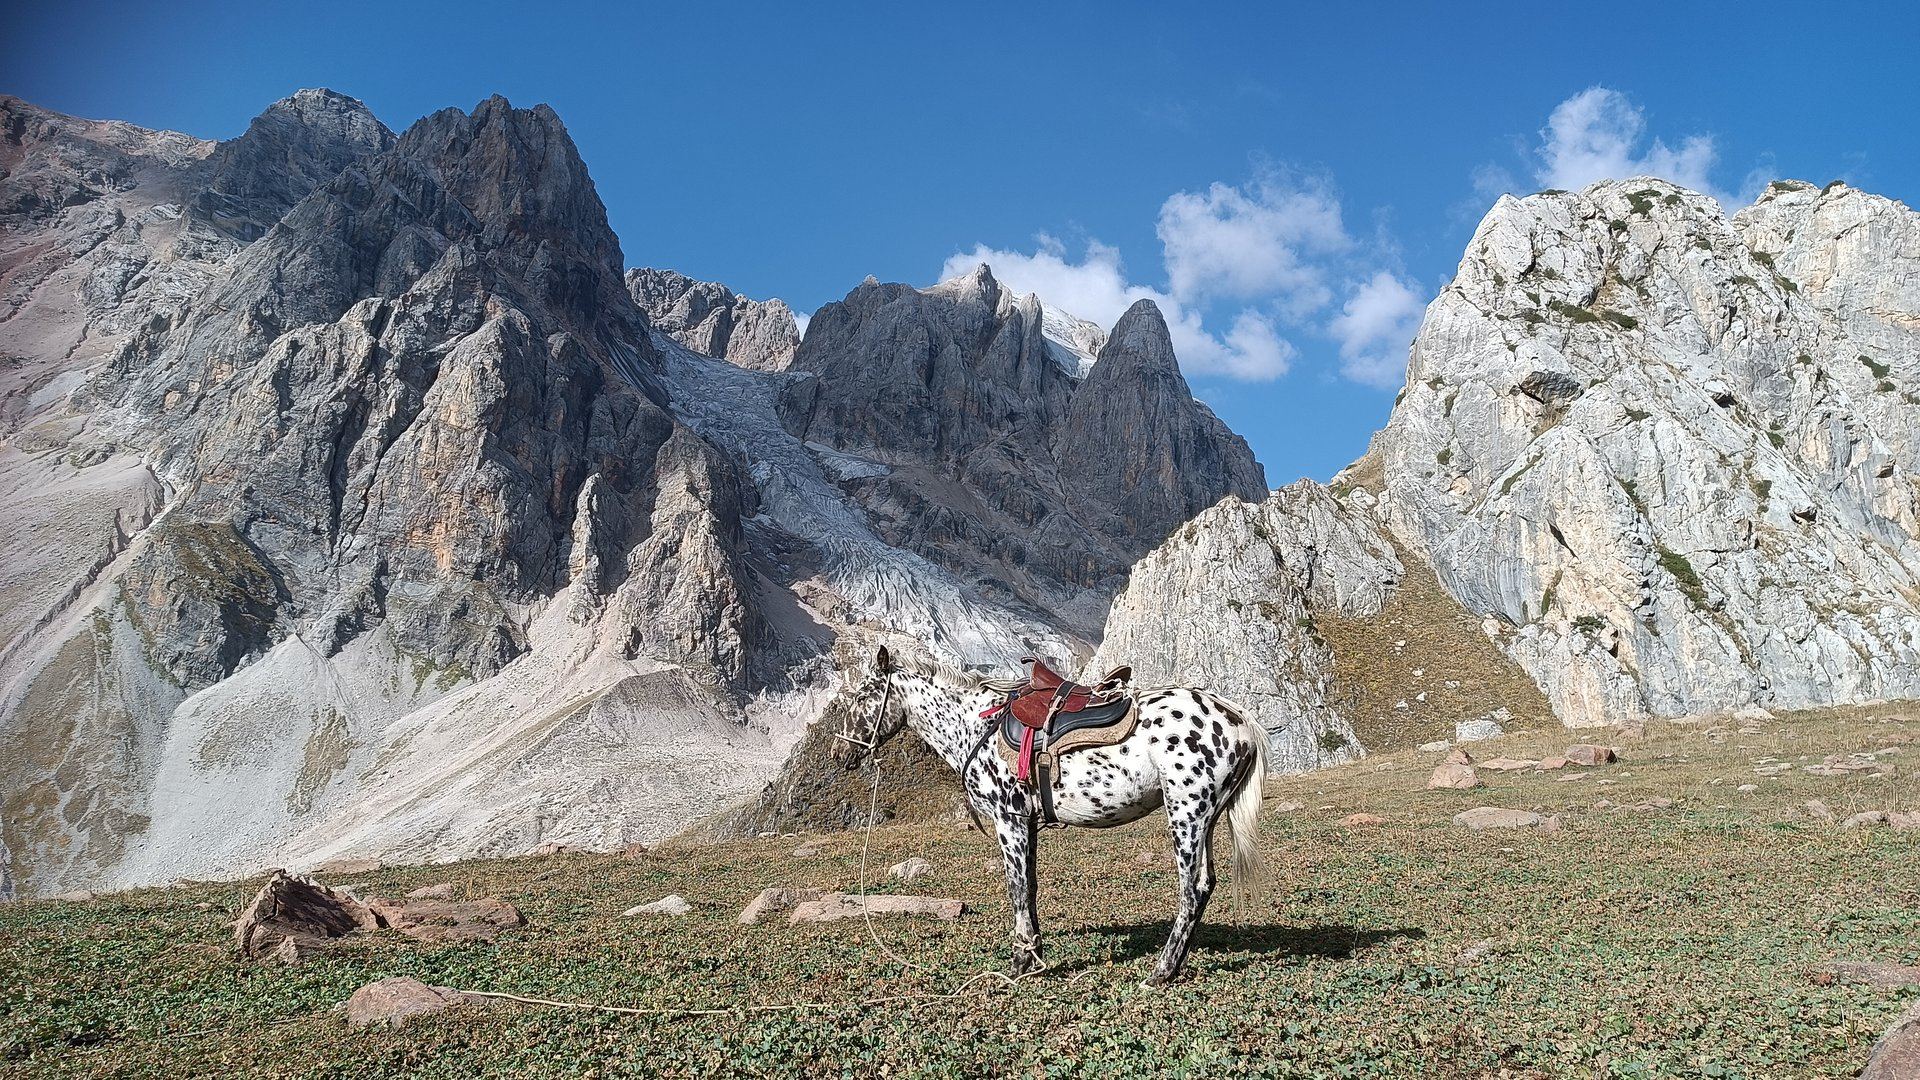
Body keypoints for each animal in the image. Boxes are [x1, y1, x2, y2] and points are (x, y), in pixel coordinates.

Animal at [837, 645, 1269, 985]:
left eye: (861, 697)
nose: (840, 752)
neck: (974, 725)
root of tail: (1239, 720)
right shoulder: (1026, 823)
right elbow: (1030, 887)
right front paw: (1035, 956)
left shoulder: (1008, 820)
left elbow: (1015, 889)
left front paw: (1017, 964)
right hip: (1206, 818)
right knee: (1205, 885)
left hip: (1186, 814)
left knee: (1190, 890)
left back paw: (1161, 971)